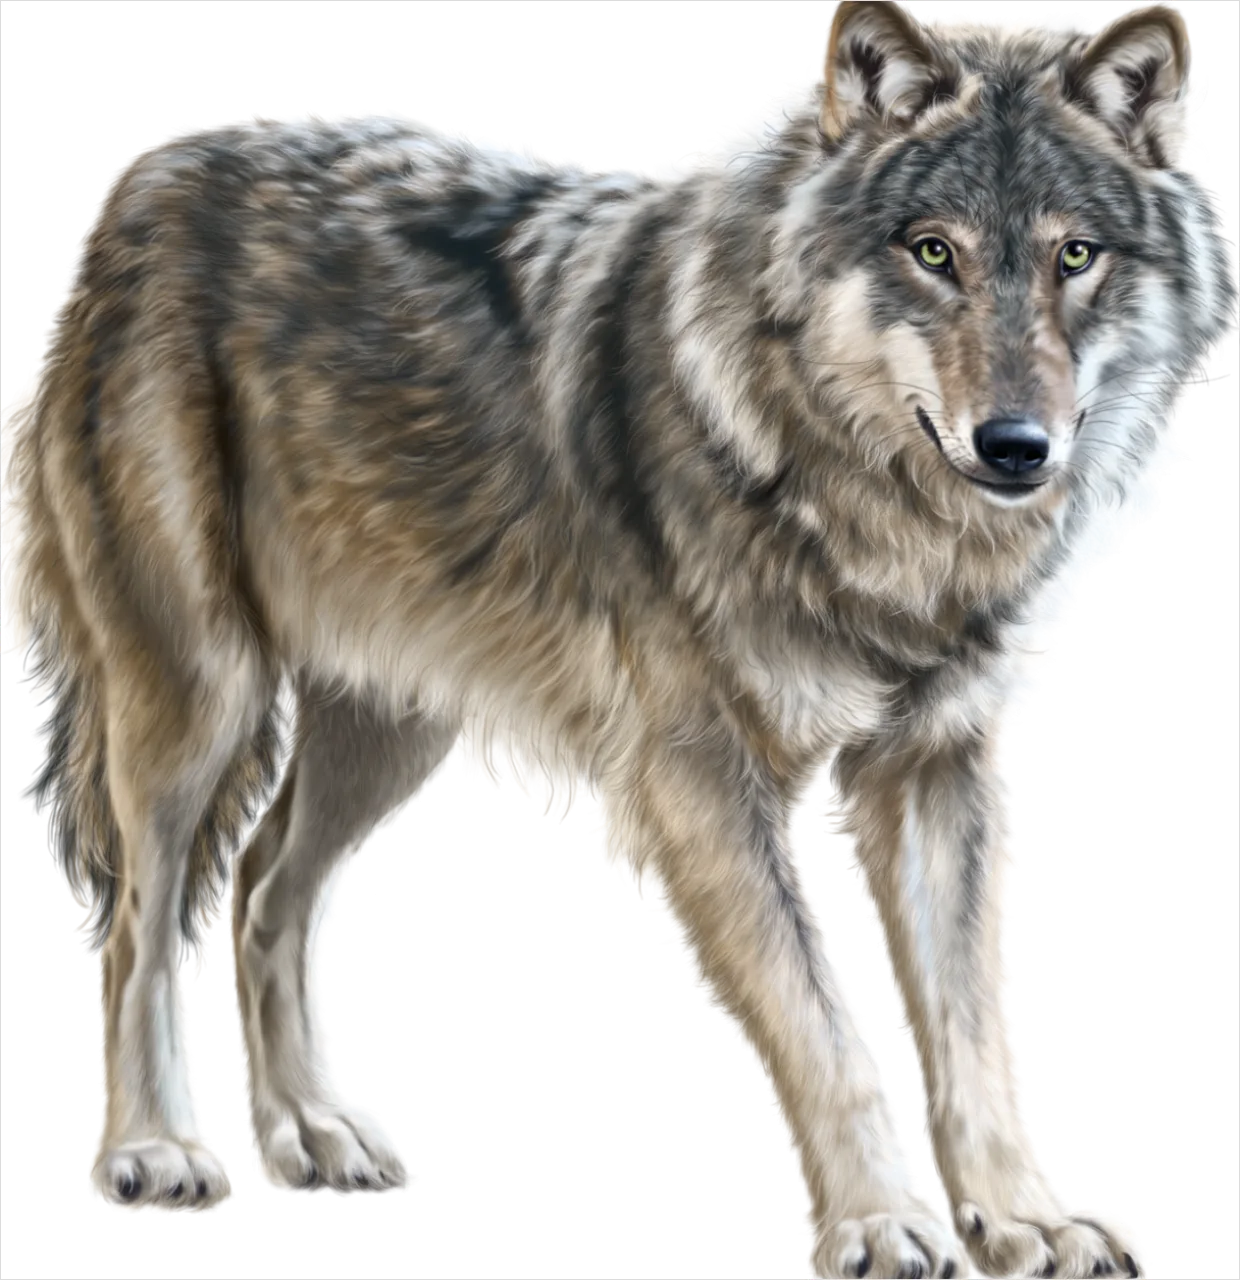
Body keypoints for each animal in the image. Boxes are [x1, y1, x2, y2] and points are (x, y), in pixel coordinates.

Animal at [3, 2, 1232, 1274]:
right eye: (931, 251)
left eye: (1074, 256)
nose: (1016, 445)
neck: (862, 507)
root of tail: (155, 180)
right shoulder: (697, 778)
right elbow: (823, 1022)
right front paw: (880, 1223)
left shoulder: (937, 768)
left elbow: (973, 1032)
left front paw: (1025, 1217)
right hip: (199, 701)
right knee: (142, 921)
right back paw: (154, 1152)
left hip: (387, 726)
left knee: (262, 887)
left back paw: (312, 1138)